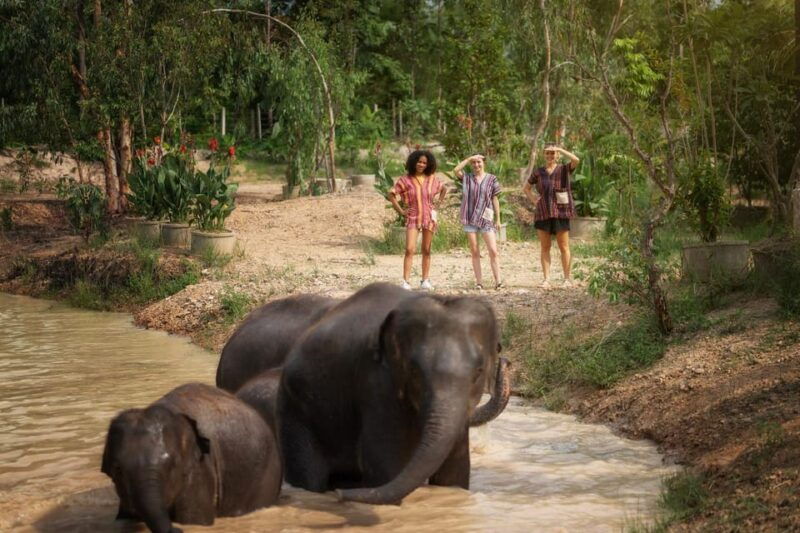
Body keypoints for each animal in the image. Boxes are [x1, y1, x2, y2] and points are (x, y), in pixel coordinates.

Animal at [277, 282, 510, 505]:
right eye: (414, 371)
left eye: (479, 371)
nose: (339, 495)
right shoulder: (376, 384)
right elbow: (384, 468)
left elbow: (454, 474)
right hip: (295, 412)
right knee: (309, 477)